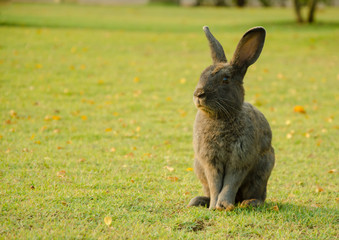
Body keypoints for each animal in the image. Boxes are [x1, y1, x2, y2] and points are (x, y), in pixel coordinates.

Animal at [189, 25, 276, 210]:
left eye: (225, 79)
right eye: (202, 74)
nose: (198, 94)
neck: (219, 117)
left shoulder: (240, 160)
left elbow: (230, 183)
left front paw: (224, 205)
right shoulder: (210, 161)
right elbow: (215, 184)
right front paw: (214, 207)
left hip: (262, 172)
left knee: (258, 195)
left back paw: (249, 203)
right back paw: (199, 201)